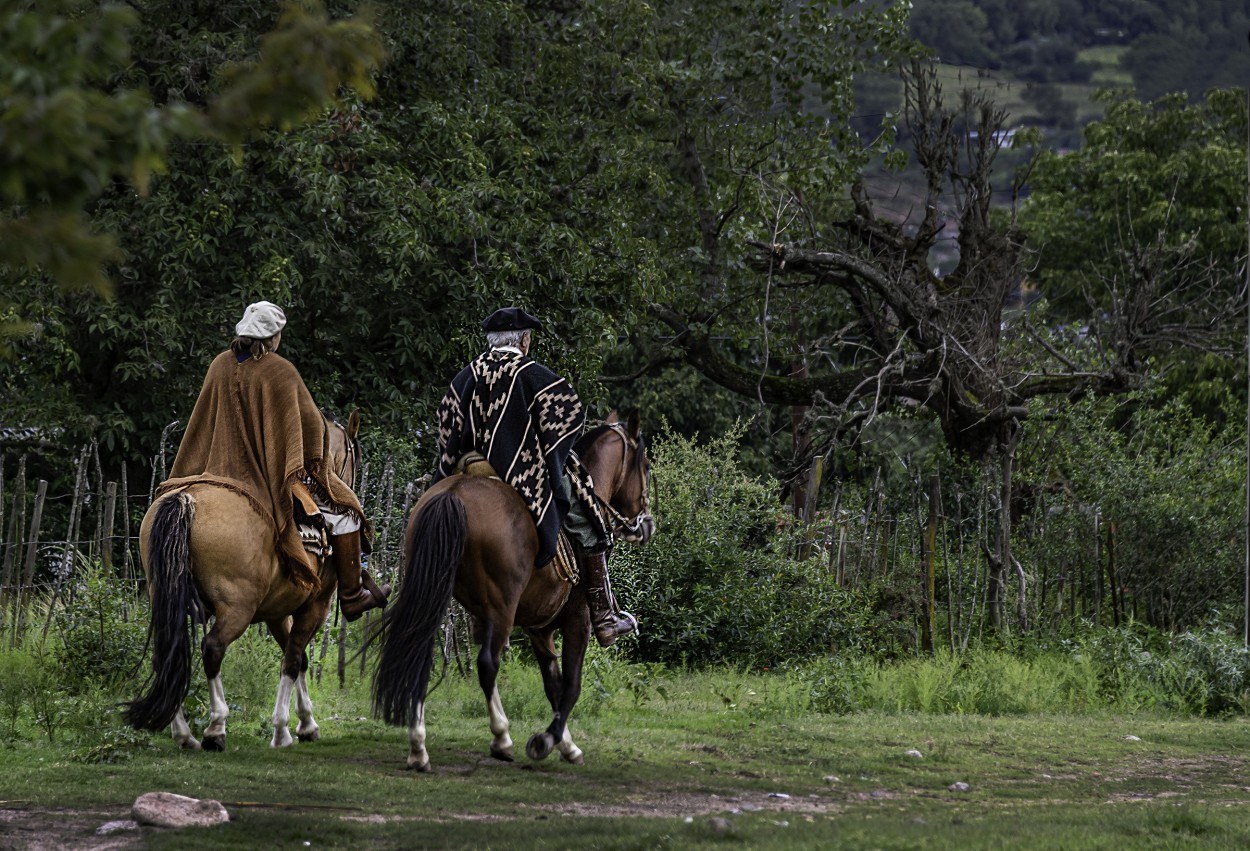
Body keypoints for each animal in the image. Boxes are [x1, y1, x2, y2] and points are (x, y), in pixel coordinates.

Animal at [125, 412, 362, 749]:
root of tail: (187, 498)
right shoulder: (316, 606)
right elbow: (293, 661)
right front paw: (283, 730)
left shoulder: (277, 613)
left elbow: (298, 659)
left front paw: (305, 724)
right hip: (237, 609)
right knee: (212, 648)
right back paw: (215, 728)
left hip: (169, 599)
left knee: (168, 653)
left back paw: (184, 735)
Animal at [370, 412, 655, 769]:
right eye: (645, 464)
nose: (646, 525)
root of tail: (454, 494)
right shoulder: (578, 621)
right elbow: (571, 684)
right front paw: (547, 740)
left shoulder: (539, 628)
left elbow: (552, 684)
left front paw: (566, 744)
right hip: (501, 609)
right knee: (487, 664)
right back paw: (501, 737)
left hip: (433, 593)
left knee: (419, 651)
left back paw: (418, 747)